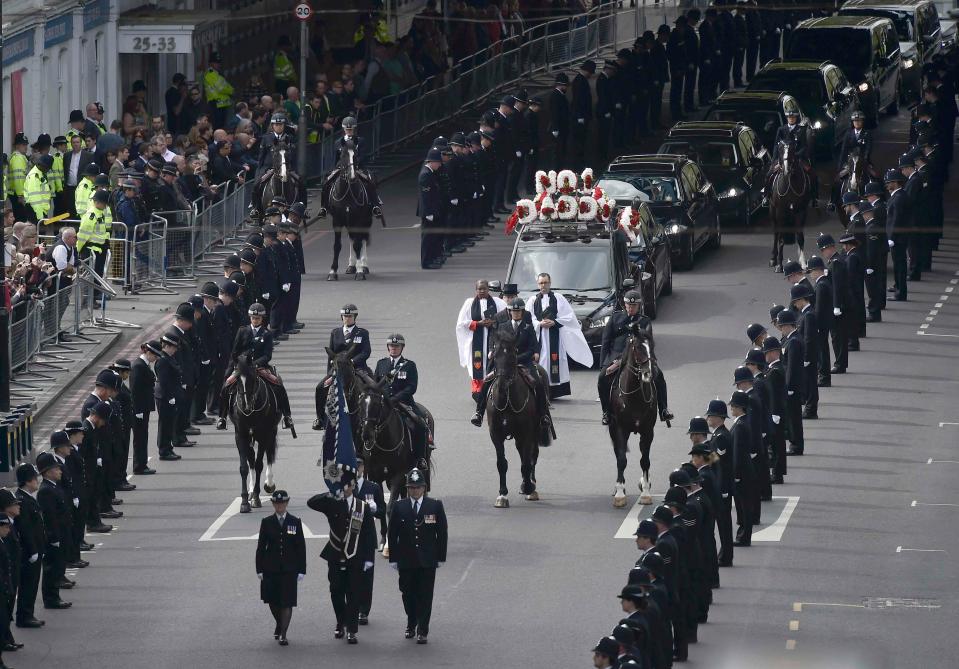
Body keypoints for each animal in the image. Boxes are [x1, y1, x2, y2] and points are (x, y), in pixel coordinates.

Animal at [230, 352, 282, 516]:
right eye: (237, 379)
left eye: (253, 378)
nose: (246, 406)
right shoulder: (240, 436)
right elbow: (244, 467)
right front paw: (245, 502)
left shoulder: (264, 434)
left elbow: (260, 464)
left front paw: (257, 498)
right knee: (251, 460)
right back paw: (252, 490)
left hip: (271, 431)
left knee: (268, 455)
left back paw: (268, 484)